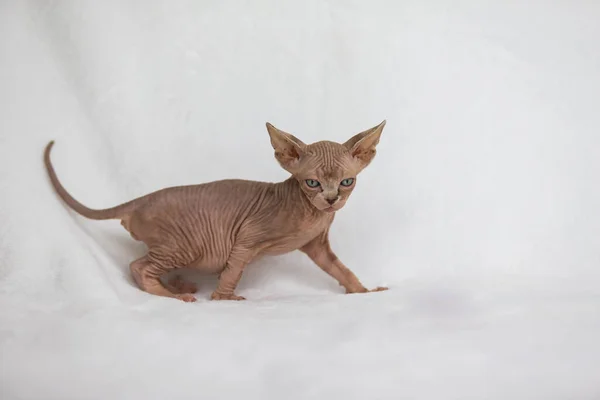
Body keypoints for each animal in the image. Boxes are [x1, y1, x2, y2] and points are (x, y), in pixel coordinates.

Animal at [43, 120, 390, 302]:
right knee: (138, 266)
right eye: (313, 183)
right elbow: (233, 269)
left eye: (347, 182)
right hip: (185, 244)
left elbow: (340, 269)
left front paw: (363, 291)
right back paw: (172, 295)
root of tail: (141, 200)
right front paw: (223, 298)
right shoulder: (247, 237)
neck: (312, 213)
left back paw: (176, 285)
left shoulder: (316, 246)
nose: (331, 200)